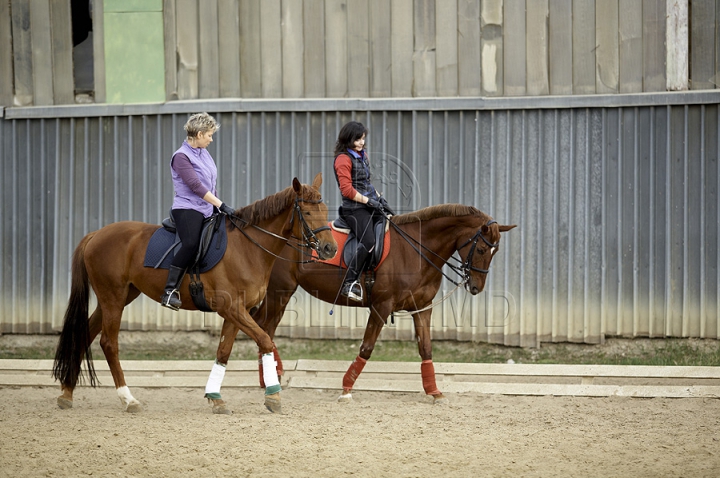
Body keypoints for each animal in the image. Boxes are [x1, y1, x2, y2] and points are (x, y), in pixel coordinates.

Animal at [52, 174, 338, 412]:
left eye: (325, 210)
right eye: (308, 211)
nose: (329, 249)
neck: (247, 248)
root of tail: (96, 235)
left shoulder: (237, 311)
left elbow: (223, 352)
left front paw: (215, 398)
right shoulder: (231, 307)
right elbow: (265, 341)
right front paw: (273, 397)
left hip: (117, 298)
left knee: (85, 335)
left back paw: (67, 394)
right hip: (113, 298)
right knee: (108, 343)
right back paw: (128, 399)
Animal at [211, 204, 516, 406]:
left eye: (496, 251)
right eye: (481, 248)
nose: (475, 287)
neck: (416, 250)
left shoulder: (422, 307)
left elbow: (426, 348)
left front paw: (434, 391)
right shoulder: (381, 306)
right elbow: (367, 348)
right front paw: (346, 387)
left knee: (263, 328)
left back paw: (269, 379)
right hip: (280, 292)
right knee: (264, 328)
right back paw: (271, 378)